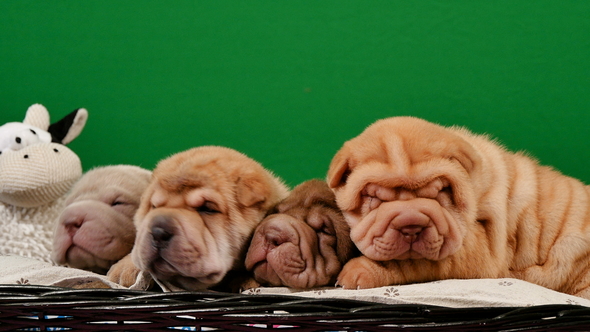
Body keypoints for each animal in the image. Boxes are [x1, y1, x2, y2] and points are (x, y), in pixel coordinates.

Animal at [330, 116, 590, 298]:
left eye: (440, 192)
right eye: (374, 197)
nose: (411, 226)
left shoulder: (484, 250)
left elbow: (417, 261)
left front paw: (360, 270)